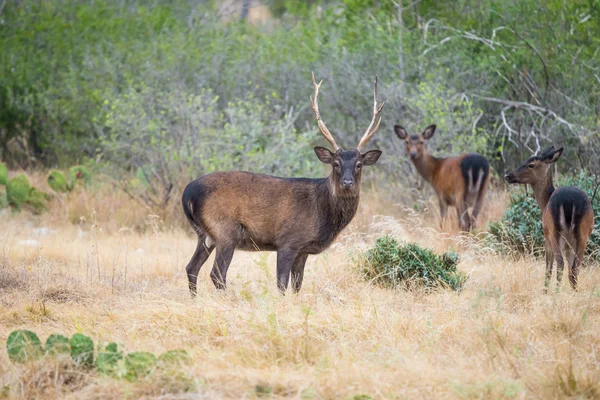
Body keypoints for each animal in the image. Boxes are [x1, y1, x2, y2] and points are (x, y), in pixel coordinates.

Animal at [180, 73, 384, 296]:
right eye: (336, 164)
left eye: (359, 165)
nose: (347, 182)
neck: (321, 211)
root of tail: (187, 194)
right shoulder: (288, 241)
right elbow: (281, 284)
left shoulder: (303, 250)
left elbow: (297, 285)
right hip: (224, 230)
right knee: (217, 273)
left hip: (205, 235)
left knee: (191, 267)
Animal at [504, 145, 592, 292]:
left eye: (531, 164)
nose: (508, 176)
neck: (544, 203)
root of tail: (569, 202)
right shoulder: (569, 245)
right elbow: (571, 270)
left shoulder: (546, 236)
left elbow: (548, 268)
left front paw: (545, 292)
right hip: (582, 235)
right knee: (575, 268)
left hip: (554, 231)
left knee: (560, 264)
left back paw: (556, 293)